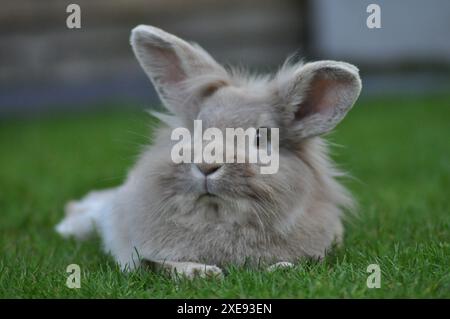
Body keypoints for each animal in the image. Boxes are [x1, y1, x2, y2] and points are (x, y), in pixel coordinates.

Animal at [55, 25, 362, 278]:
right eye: (196, 130)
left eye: (261, 137)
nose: (206, 165)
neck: (217, 216)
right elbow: (160, 264)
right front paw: (203, 273)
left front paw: (282, 268)